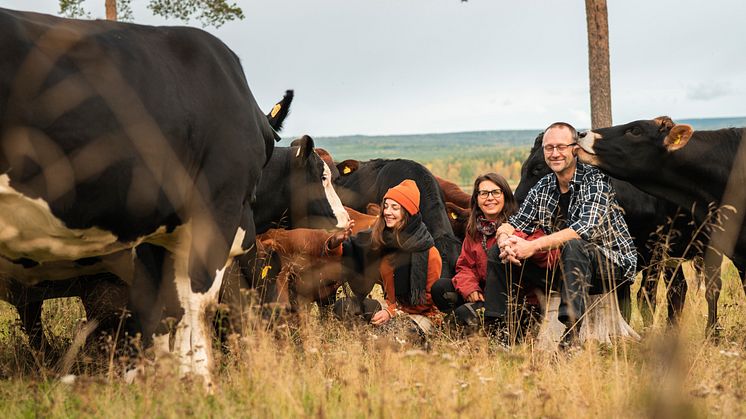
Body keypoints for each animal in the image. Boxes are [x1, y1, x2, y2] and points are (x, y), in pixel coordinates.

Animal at [0, 7, 276, 388]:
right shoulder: (216, 205)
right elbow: (197, 302)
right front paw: (202, 383)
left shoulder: (161, 232)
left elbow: (166, 306)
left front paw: (173, 379)